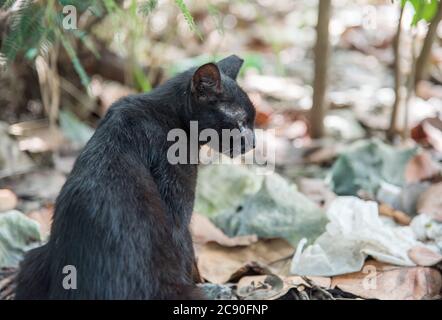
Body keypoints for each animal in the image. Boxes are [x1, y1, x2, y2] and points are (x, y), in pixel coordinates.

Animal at [14, 55, 256, 300]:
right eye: (240, 122)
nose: (254, 142)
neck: (169, 113)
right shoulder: (177, 207)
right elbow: (186, 248)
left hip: (32, 260)